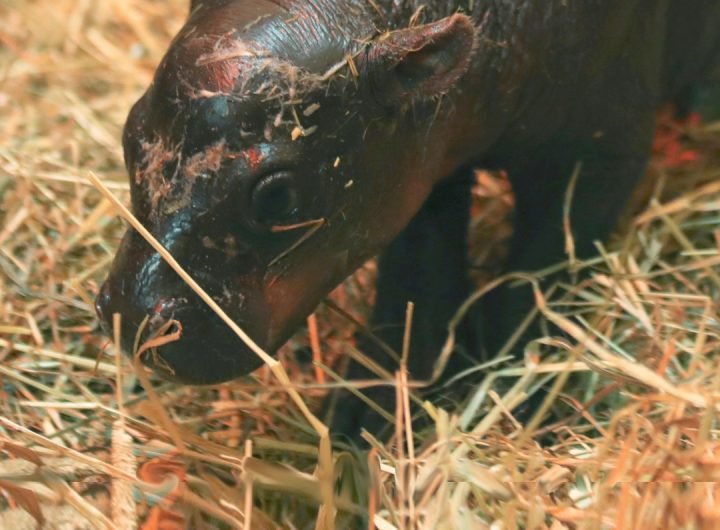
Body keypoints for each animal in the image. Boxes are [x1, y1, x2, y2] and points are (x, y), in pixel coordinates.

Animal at [95, 1, 720, 434]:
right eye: (130, 132)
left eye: (277, 196)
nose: (130, 314)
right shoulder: (426, 169)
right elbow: (418, 278)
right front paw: (367, 415)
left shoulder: (597, 157)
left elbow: (538, 274)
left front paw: (515, 399)